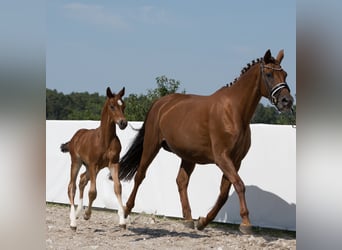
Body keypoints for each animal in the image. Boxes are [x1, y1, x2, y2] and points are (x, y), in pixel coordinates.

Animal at [60, 86, 127, 230]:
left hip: (92, 168)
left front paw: (122, 221)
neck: (105, 139)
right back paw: (73, 221)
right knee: (72, 186)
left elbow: (118, 187)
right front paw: (87, 214)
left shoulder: (114, 163)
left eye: (123, 105)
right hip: (77, 162)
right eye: (112, 106)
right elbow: (93, 192)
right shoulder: (93, 164)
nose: (123, 123)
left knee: (82, 180)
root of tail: (75, 137)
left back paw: (78, 212)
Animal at [118, 49, 294, 233]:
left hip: (188, 156)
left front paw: (203, 221)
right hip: (151, 145)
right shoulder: (222, 158)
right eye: (269, 74)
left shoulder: (235, 161)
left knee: (181, 181)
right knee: (140, 175)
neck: (234, 112)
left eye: (285, 74)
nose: (287, 101)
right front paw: (246, 223)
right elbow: (239, 184)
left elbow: (224, 193)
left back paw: (188, 219)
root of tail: (160, 103)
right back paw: (126, 212)